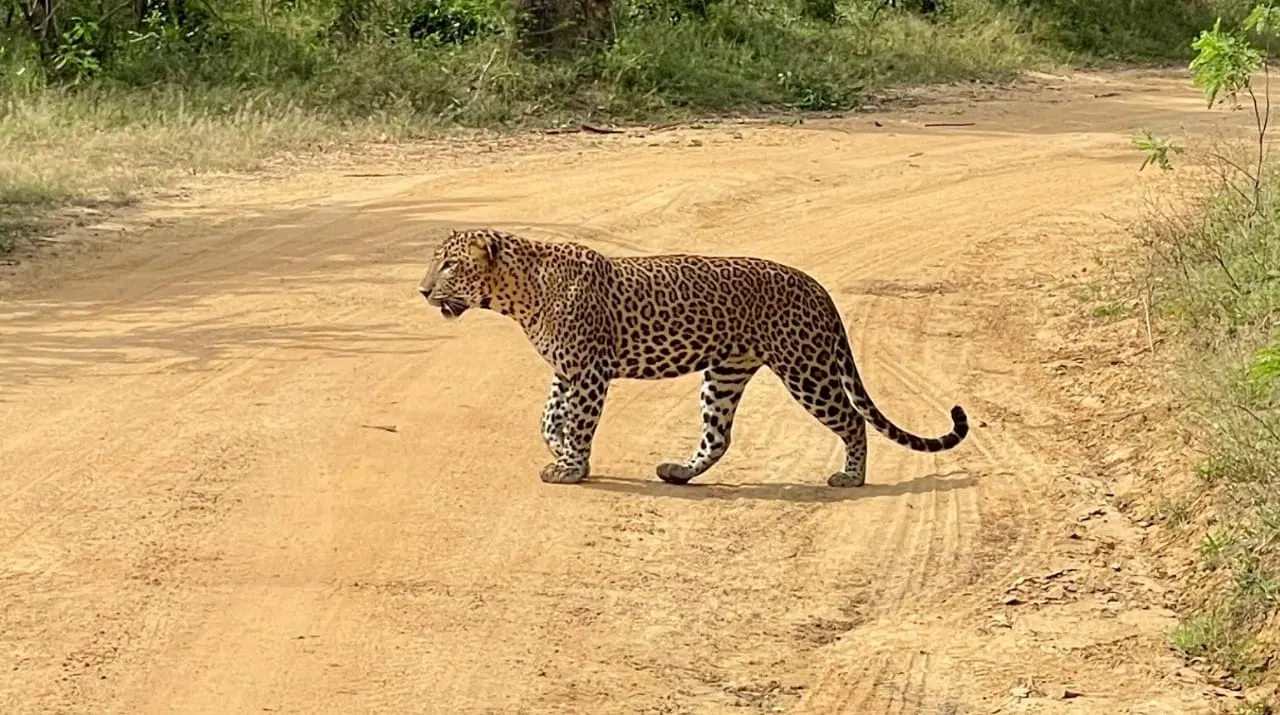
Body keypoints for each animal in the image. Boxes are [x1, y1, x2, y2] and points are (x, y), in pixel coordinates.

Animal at [417, 228, 969, 487]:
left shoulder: (590, 370)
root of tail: (816, 286)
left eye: (449, 265)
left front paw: (572, 468)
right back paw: (678, 472)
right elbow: (549, 418)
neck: (519, 293)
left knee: (852, 420)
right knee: (718, 436)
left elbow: (578, 422)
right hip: (725, 373)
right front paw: (560, 452)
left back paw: (851, 478)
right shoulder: (566, 369)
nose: (421, 291)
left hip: (805, 367)